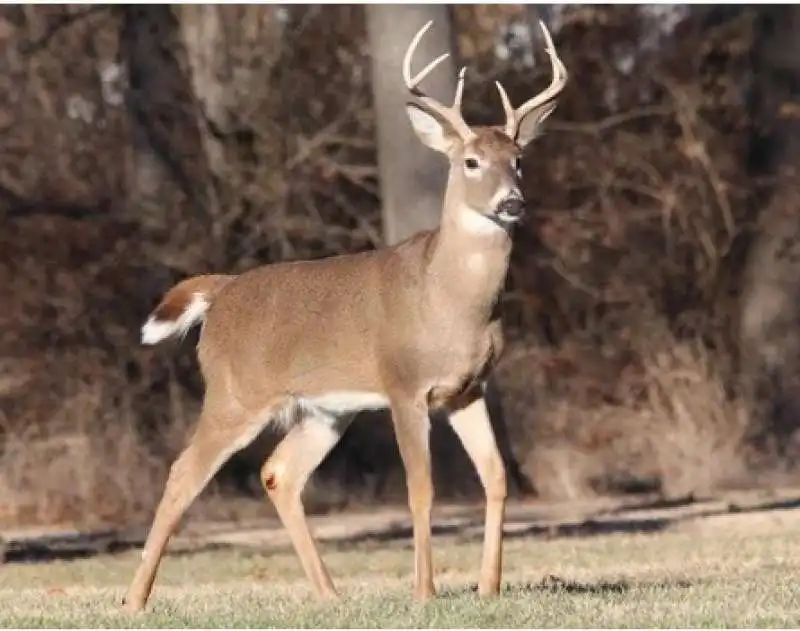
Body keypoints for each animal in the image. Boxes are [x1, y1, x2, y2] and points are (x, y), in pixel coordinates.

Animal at [122, 18, 564, 612]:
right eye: (470, 161)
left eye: (518, 159)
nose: (512, 202)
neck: (451, 303)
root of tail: (222, 292)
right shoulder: (404, 385)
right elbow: (420, 488)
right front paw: (424, 591)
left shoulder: (469, 389)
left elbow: (495, 477)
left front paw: (488, 587)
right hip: (235, 393)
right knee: (182, 473)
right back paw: (134, 600)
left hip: (325, 410)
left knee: (279, 472)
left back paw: (329, 593)